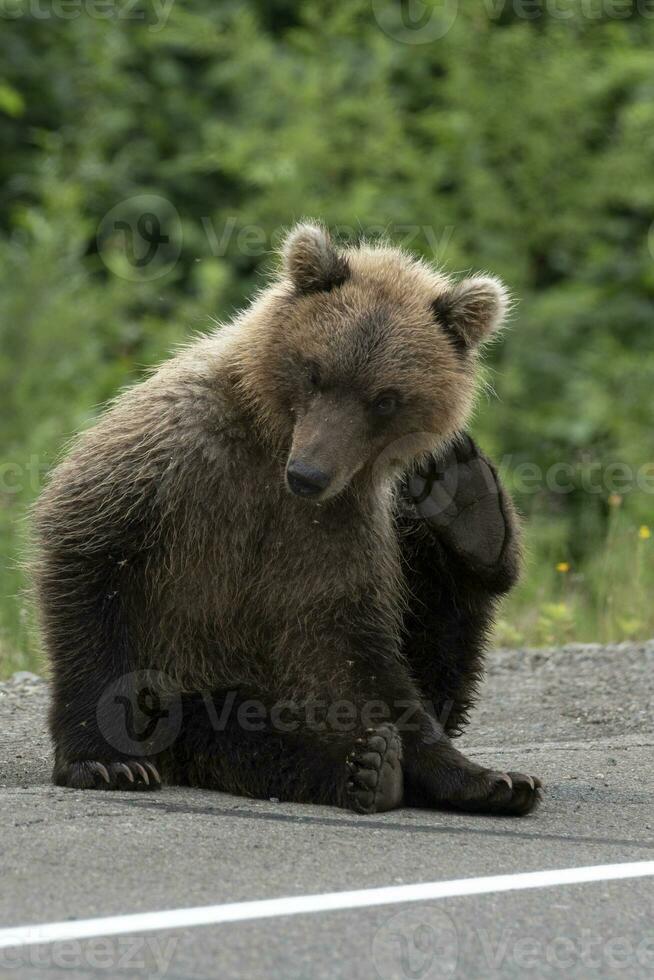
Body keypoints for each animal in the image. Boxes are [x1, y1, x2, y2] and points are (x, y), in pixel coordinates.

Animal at [32, 224, 544, 820]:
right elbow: (91, 554)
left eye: (385, 399)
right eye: (315, 372)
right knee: (243, 734)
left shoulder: (341, 526)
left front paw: (474, 774)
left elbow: (355, 651)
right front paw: (105, 760)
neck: (273, 445)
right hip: (194, 677)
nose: (309, 474)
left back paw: (471, 514)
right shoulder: (177, 455)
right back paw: (363, 767)